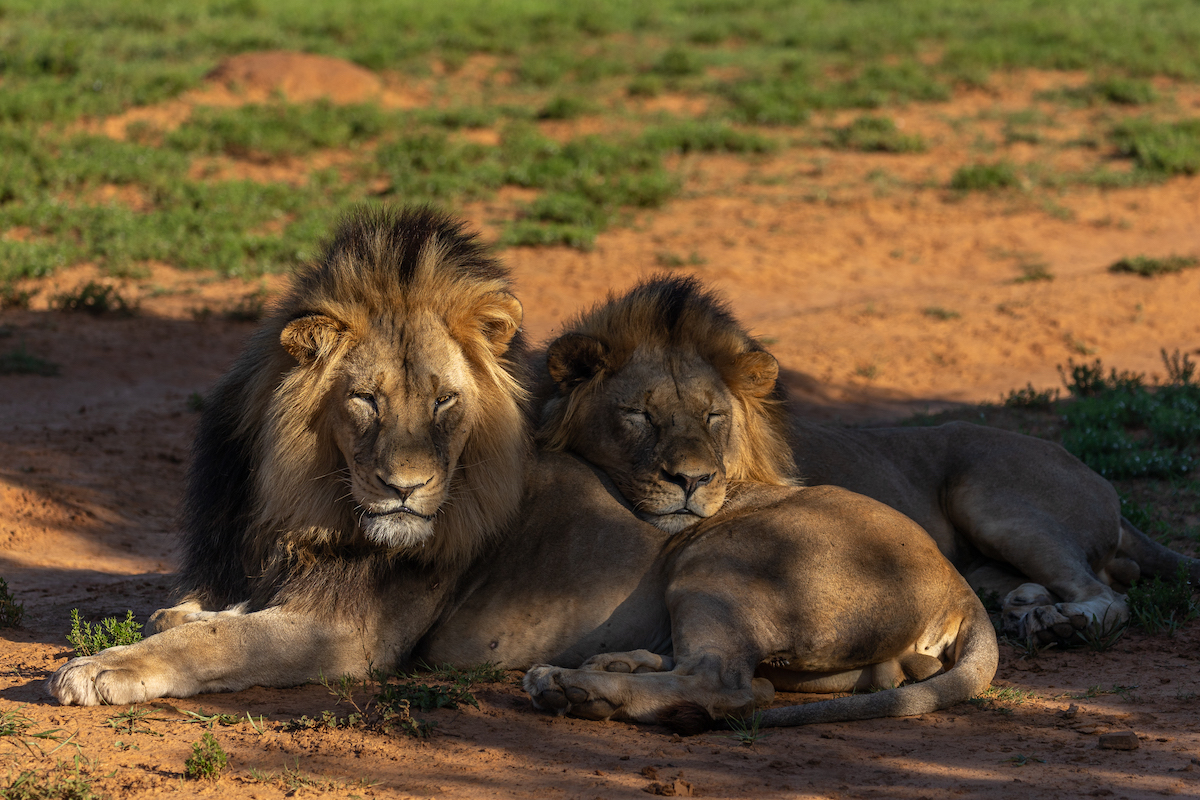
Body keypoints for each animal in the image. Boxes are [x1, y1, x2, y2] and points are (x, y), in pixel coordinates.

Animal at [46, 208, 993, 734]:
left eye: (444, 404)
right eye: (365, 401)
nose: (405, 489)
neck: (303, 495)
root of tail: (957, 582)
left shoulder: (348, 635)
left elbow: (216, 641)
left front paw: (104, 667)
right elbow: (200, 613)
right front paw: (166, 617)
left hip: (719, 550)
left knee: (731, 687)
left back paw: (576, 690)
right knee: (749, 677)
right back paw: (620, 666)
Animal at [535, 277, 1200, 652]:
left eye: (713, 417)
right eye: (639, 415)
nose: (691, 481)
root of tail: (1104, 484)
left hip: (992, 496)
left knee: (1107, 594)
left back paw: (1059, 626)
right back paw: (1025, 609)